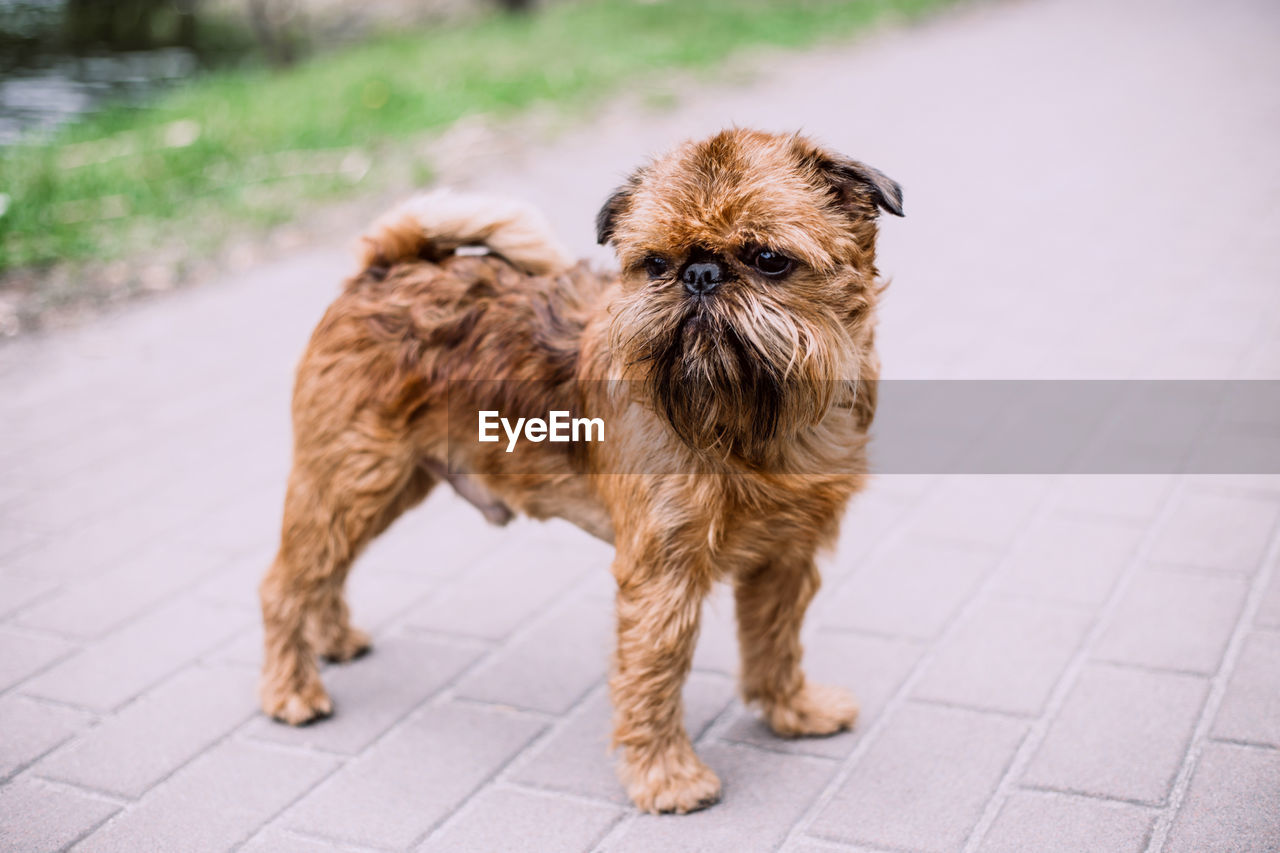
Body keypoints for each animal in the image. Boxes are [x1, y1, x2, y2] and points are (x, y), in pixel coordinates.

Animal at [257, 126, 901, 809]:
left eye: (769, 258)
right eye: (655, 265)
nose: (700, 274)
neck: (758, 424)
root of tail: (384, 269)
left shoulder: (787, 555)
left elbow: (775, 640)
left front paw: (792, 712)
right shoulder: (663, 572)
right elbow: (656, 668)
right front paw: (666, 776)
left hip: (382, 485)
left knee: (325, 568)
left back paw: (332, 641)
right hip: (351, 478)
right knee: (285, 582)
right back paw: (290, 690)